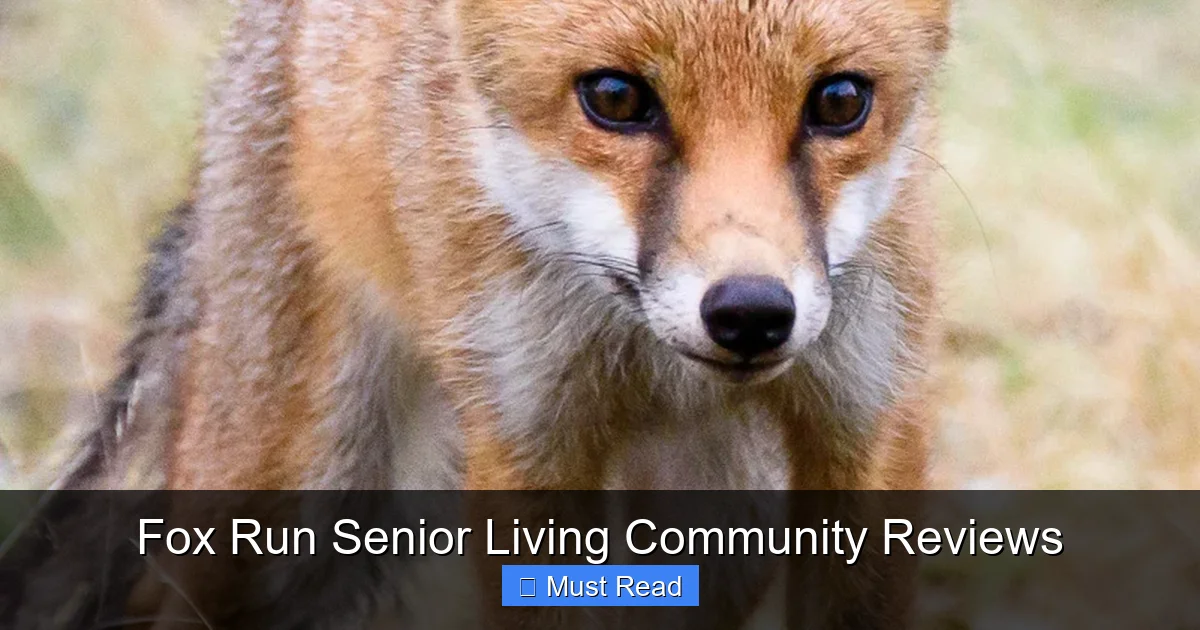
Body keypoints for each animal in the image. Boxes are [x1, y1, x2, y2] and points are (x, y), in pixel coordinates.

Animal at [51, 0, 950, 626]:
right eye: (615, 97)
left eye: (838, 101)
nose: (752, 312)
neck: (650, 361)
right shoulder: (529, 438)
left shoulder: (867, 425)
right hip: (294, 507)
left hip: (731, 519)